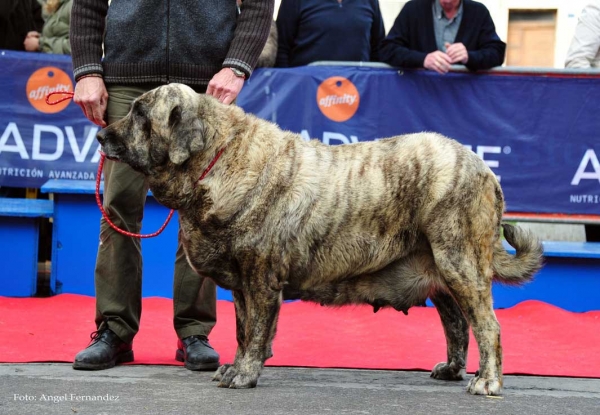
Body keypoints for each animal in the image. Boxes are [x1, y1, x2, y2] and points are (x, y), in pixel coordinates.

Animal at [97, 83, 544, 394]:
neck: (216, 159)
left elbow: (255, 330)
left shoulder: (260, 277)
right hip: (440, 270)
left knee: (486, 325)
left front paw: (244, 374)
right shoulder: (242, 284)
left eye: (140, 113)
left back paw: (487, 382)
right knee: (457, 323)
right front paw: (237, 366)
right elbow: (243, 330)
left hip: (459, 261)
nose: (102, 135)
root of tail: (483, 167)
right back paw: (452, 369)